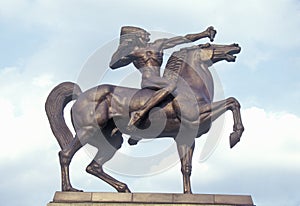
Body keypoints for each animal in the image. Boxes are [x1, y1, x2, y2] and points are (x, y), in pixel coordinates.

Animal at [45, 42, 243, 195]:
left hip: (111, 141)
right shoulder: (196, 116)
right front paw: (235, 136)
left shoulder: (185, 138)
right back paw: (69, 189)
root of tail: (79, 96)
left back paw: (123, 188)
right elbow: (232, 101)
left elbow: (186, 168)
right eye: (207, 45)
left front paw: (188, 194)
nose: (235, 46)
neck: (190, 88)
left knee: (93, 166)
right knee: (65, 154)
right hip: (87, 130)